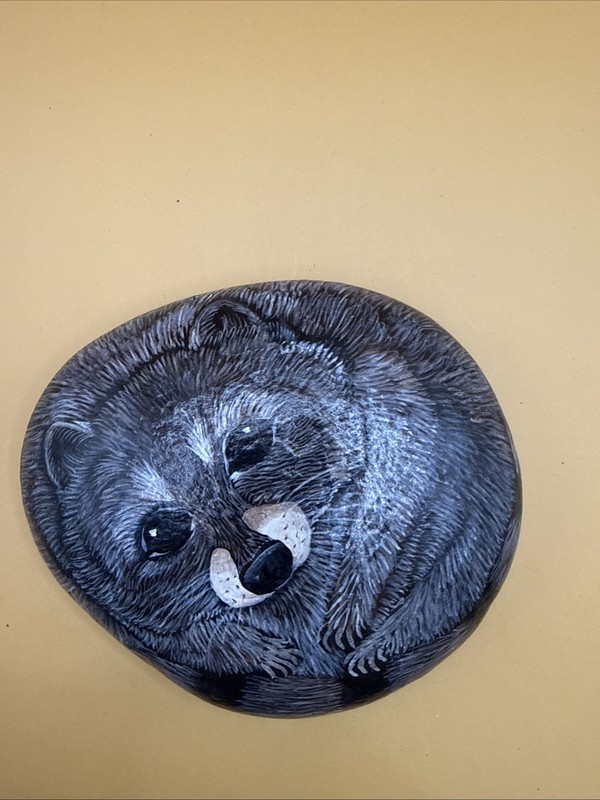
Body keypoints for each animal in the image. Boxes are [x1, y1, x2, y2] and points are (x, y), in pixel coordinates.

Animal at [20, 281, 521, 716]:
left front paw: (362, 577)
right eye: (161, 533)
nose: (265, 567)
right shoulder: (72, 549)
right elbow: (164, 629)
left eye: (245, 446)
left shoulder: (390, 381)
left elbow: (405, 482)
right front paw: (234, 644)